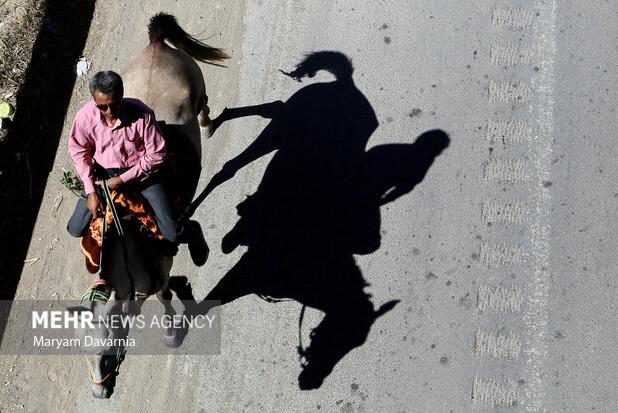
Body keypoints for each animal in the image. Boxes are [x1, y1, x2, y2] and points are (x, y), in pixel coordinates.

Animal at [74, 12, 227, 398]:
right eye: (81, 353)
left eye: (106, 348)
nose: (99, 393)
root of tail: (156, 44)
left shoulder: (157, 277)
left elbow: (166, 297)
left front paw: (173, 332)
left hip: (198, 88)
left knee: (204, 105)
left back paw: (207, 126)